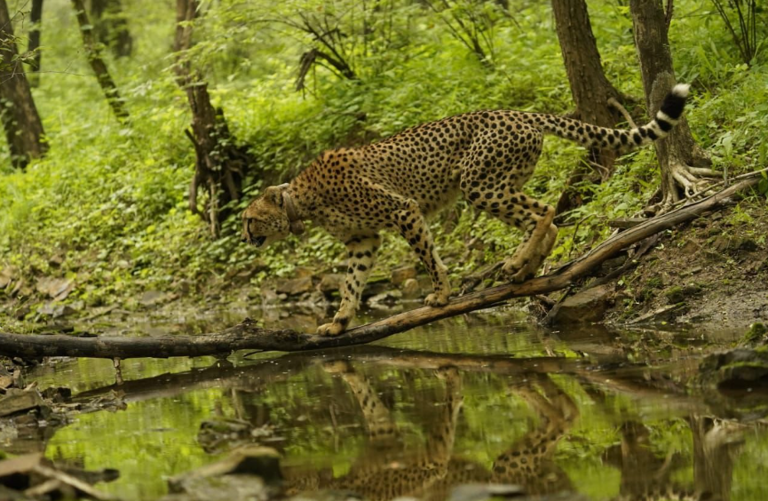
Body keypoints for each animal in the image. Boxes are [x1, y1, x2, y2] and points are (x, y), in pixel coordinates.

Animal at [242, 84, 691, 336]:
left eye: (250, 219)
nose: (246, 235)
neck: (301, 200)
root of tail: (517, 112)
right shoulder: (362, 240)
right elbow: (351, 283)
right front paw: (340, 321)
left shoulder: (403, 210)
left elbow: (428, 256)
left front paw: (440, 295)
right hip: (499, 181)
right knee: (546, 218)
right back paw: (526, 270)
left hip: (478, 184)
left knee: (544, 210)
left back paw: (516, 264)